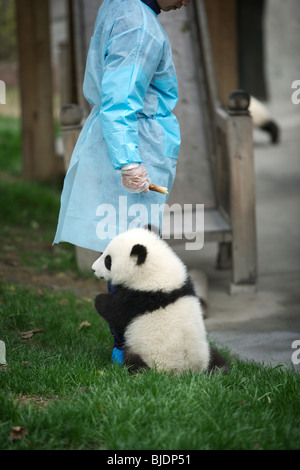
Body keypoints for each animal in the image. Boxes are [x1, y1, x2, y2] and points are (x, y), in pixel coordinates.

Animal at [91, 228, 227, 374]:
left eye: (108, 260)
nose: (93, 269)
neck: (156, 270)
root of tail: (187, 372)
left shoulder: (139, 298)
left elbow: (116, 313)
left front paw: (99, 299)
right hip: (206, 353)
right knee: (218, 360)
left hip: (148, 358)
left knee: (134, 363)